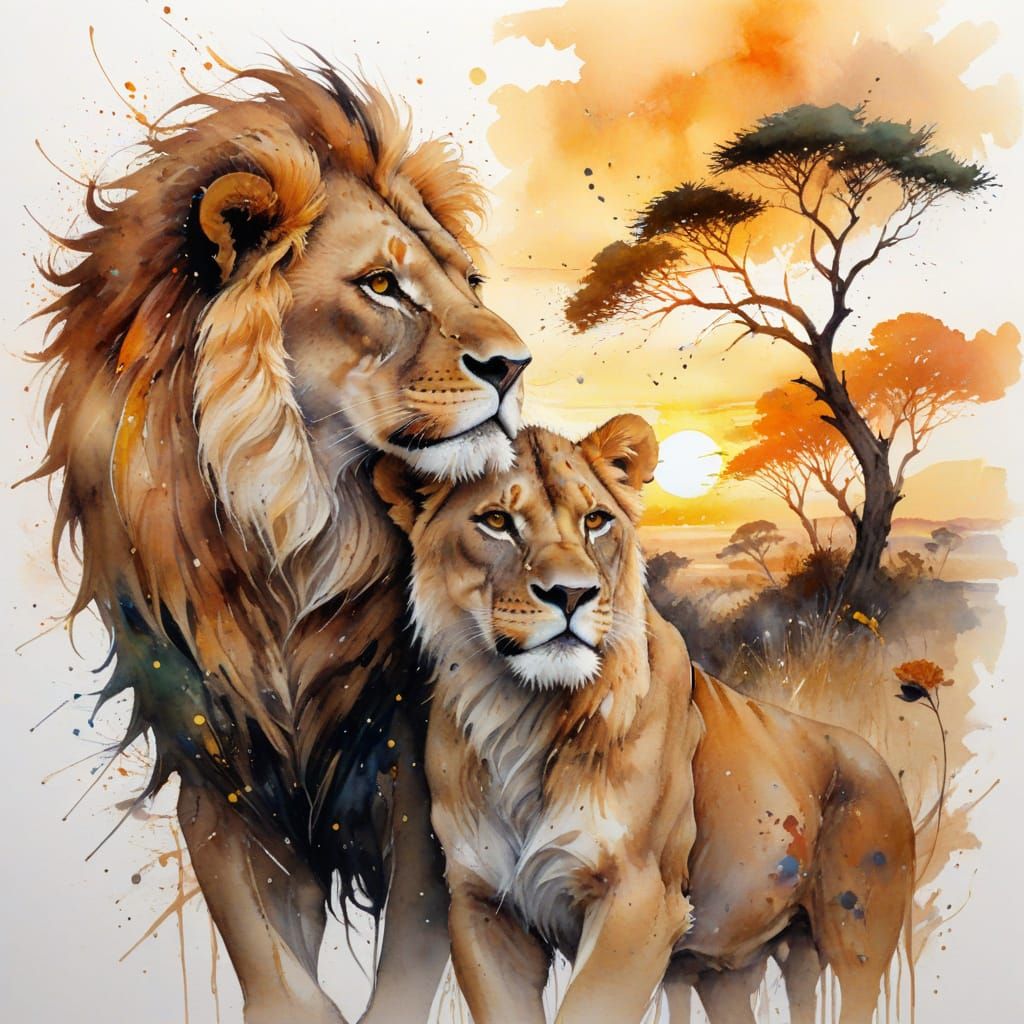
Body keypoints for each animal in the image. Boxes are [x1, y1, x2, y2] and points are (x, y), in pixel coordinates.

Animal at [30, 58, 530, 1024]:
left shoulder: (421, 781)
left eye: (472, 283)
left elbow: (411, 963)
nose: (514, 365)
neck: (292, 544)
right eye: (382, 285)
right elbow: (279, 974)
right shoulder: (217, 767)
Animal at [373, 416, 916, 1024]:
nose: (572, 593)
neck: (524, 712)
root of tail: (871, 754)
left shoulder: (640, 899)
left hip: (857, 939)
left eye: (595, 520)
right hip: (725, 968)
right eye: (496, 521)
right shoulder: (483, 905)